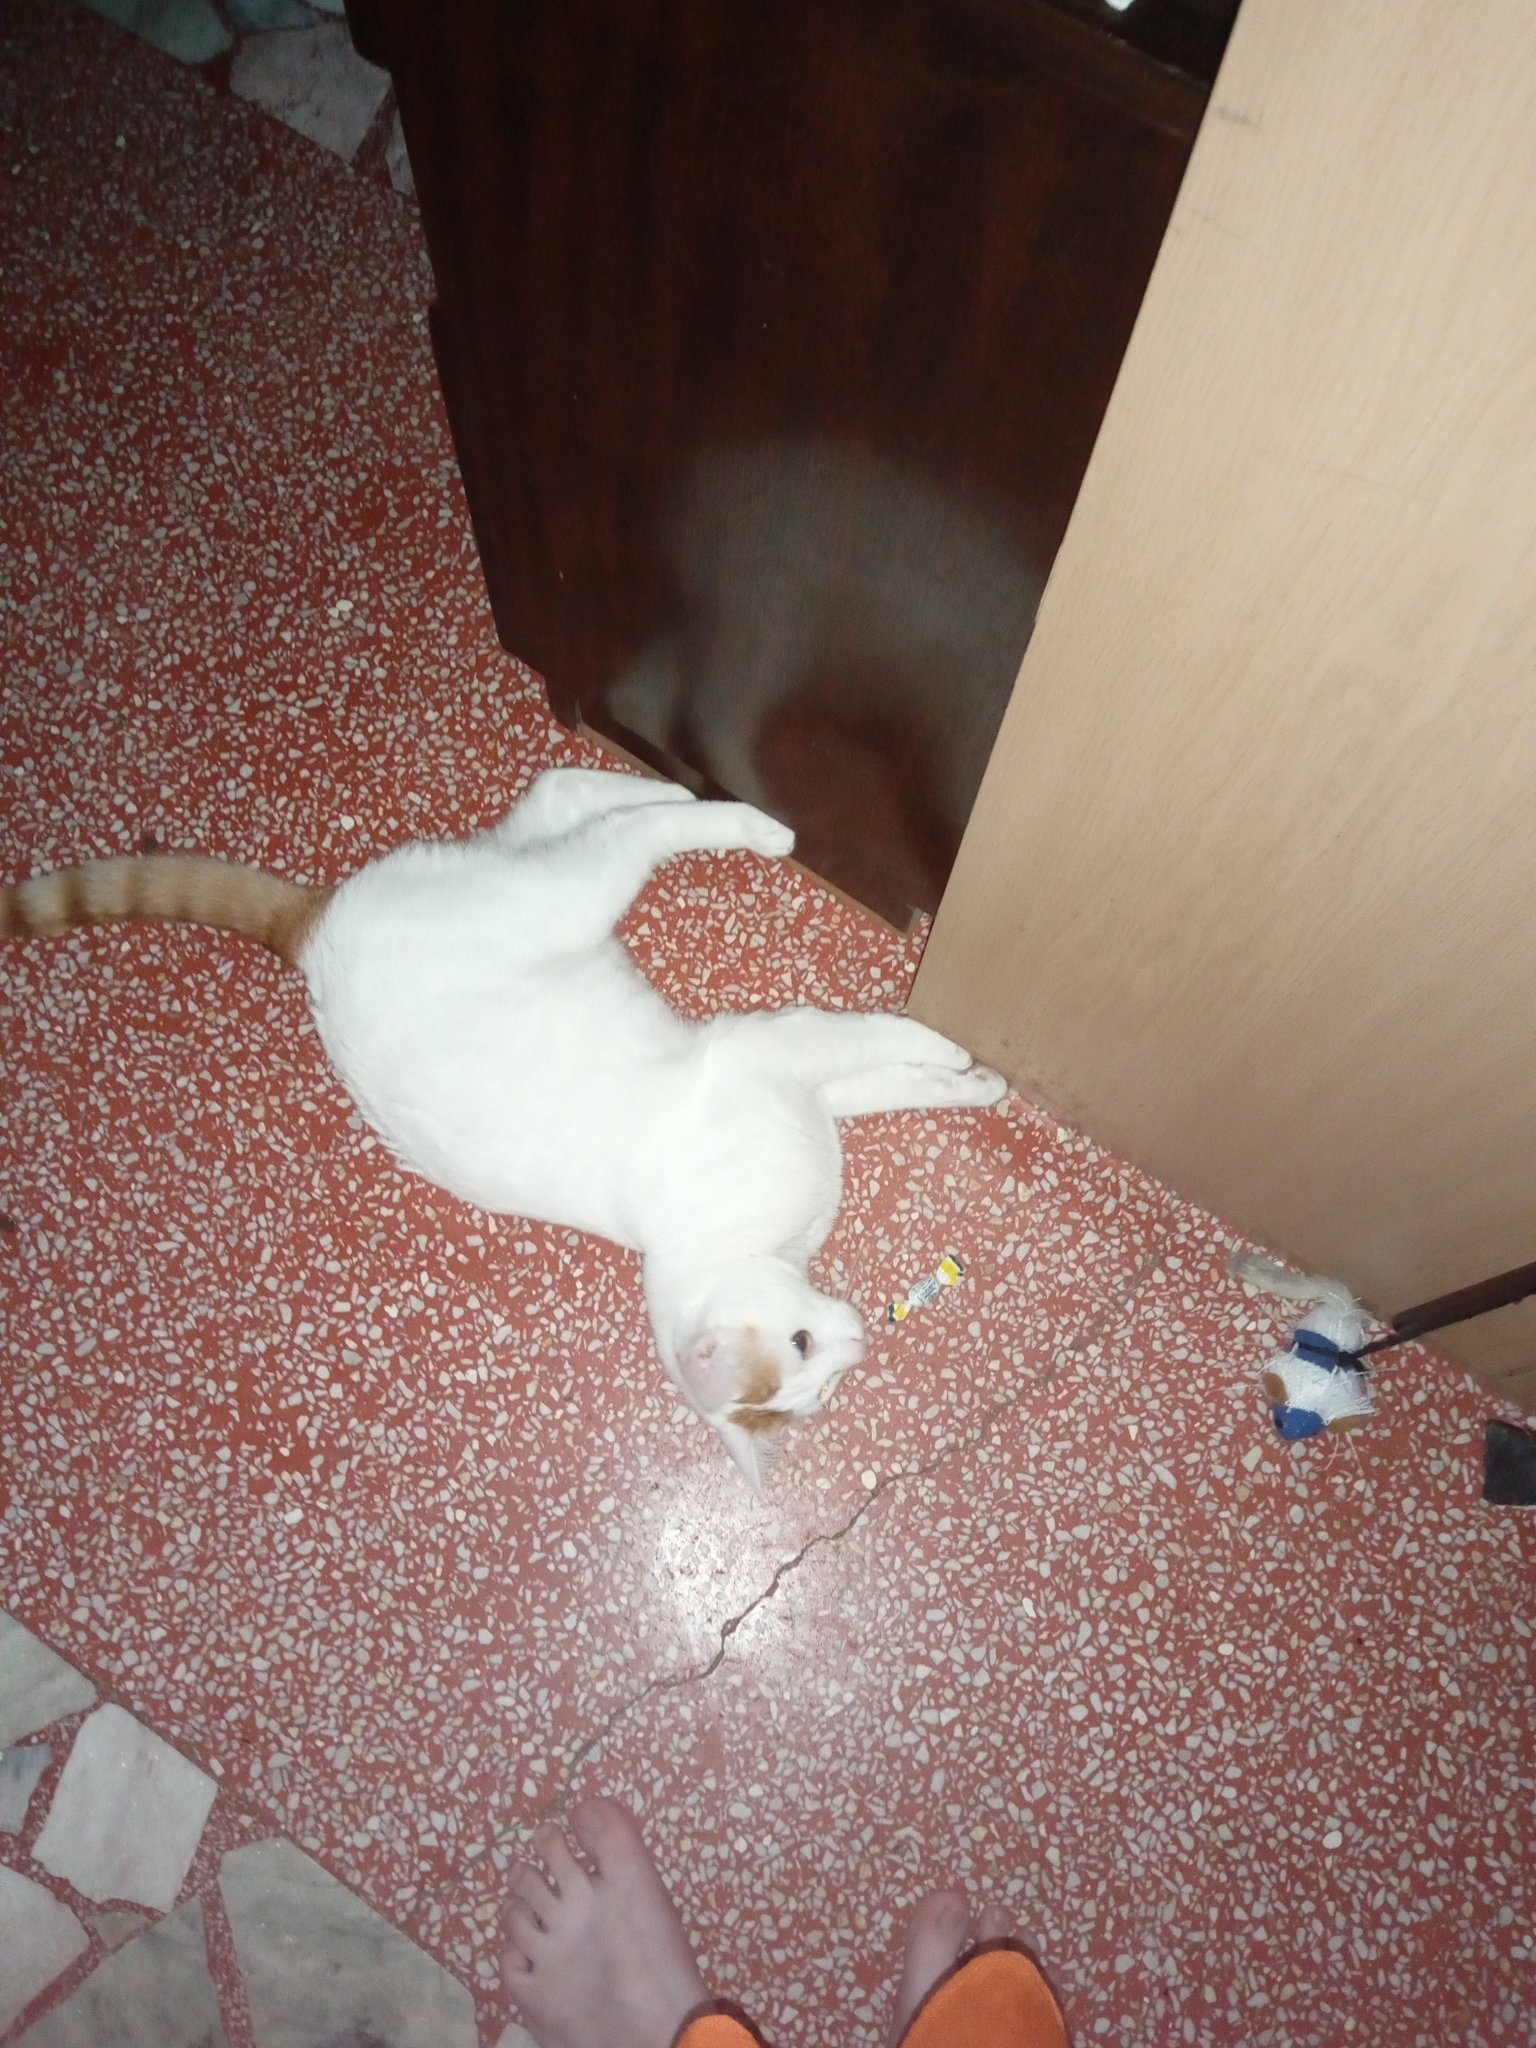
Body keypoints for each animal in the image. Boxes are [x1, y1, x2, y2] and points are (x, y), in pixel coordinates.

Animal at [2, 766, 1006, 1489]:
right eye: (812, 1364)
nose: (859, 1341)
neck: (748, 1244)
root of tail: (310, 934)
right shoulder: (776, 1056)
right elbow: (879, 1051)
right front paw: (965, 1060)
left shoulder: (783, 1061)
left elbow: (890, 1069)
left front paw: (974, 1072)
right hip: (563, 894)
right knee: (611, 830)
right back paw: (745, 823)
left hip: (549, 885)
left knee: (569, 797)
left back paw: (696, 795)